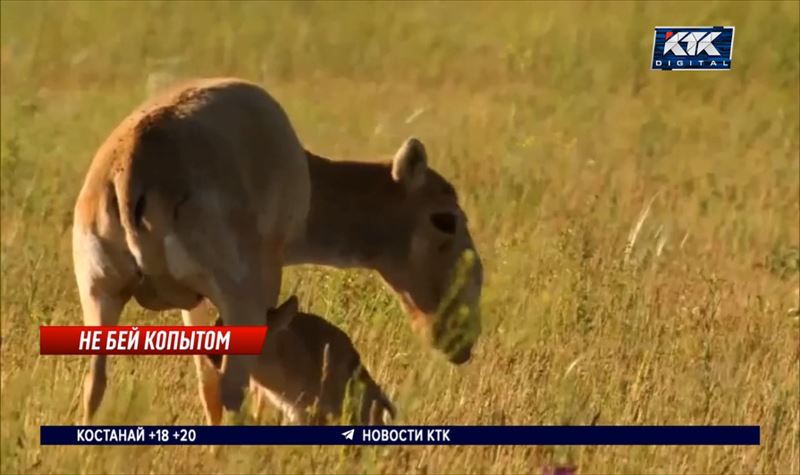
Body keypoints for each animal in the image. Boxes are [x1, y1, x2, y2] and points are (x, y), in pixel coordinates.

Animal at [75, 78, 484, 428]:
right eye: (445, 219)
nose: (461, 341)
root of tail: (132, 165)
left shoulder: (195, 303)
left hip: (98, 296)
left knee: (95, 384)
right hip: (238, 301)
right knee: (233, 388)